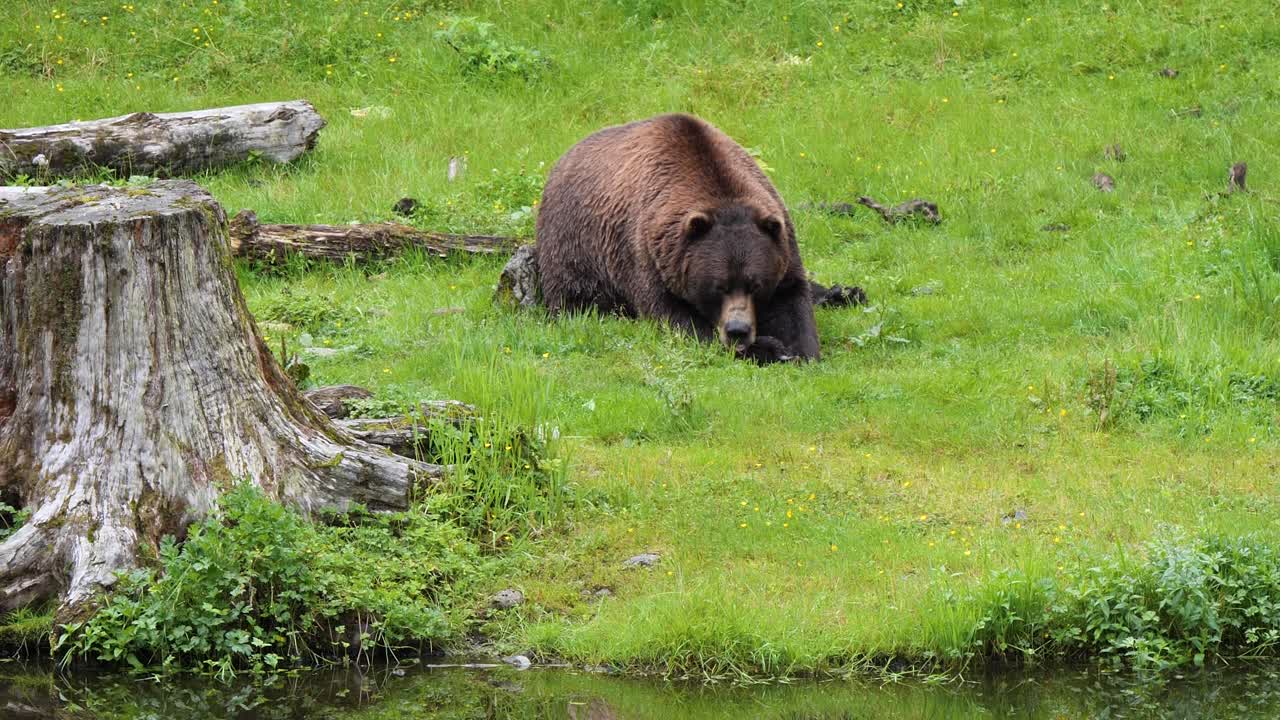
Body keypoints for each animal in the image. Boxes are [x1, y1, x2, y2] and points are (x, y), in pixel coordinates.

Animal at [534, 113, 820, 364]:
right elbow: (675, 317)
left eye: (755, 285)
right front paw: (767, 348)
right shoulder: (648, 256)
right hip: (575, 249)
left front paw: (800, 350)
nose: (737, 330)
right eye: (719, 286)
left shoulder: (781, 241)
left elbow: (792, 301)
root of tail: (564, 157)